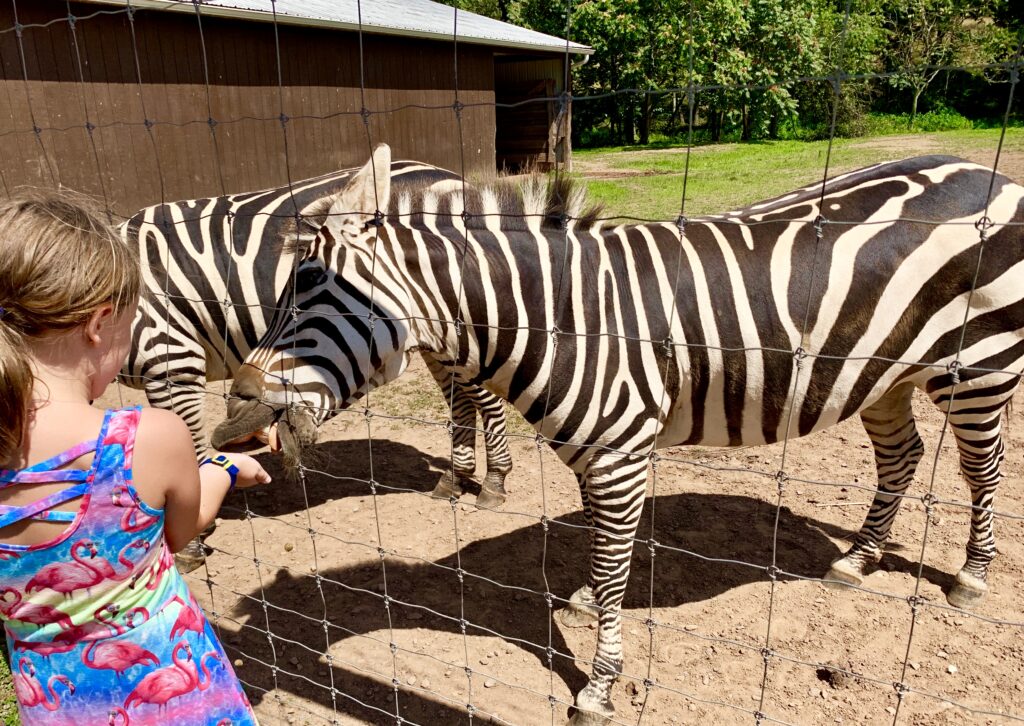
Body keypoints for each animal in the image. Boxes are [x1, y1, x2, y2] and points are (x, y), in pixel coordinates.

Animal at [117, 160, 512, 497]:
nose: (234, 417)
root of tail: (448, 175)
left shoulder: (171, 362)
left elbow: (191, 454)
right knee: (460, 397)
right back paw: (455, 478)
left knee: (485, 396)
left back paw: (494, 478)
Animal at [216, 144, 1024, 720]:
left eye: (312, 288)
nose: (236, 410)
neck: (563, 317)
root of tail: (985, 172)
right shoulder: (597, 456)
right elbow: (604, 554)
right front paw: (586, 604)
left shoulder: (619, 456)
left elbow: (611, 566)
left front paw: (599, 686)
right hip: (885, 374)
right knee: (901, 457)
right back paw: (859, 558)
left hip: (978, 367)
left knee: (981, 471)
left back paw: (971, 576)